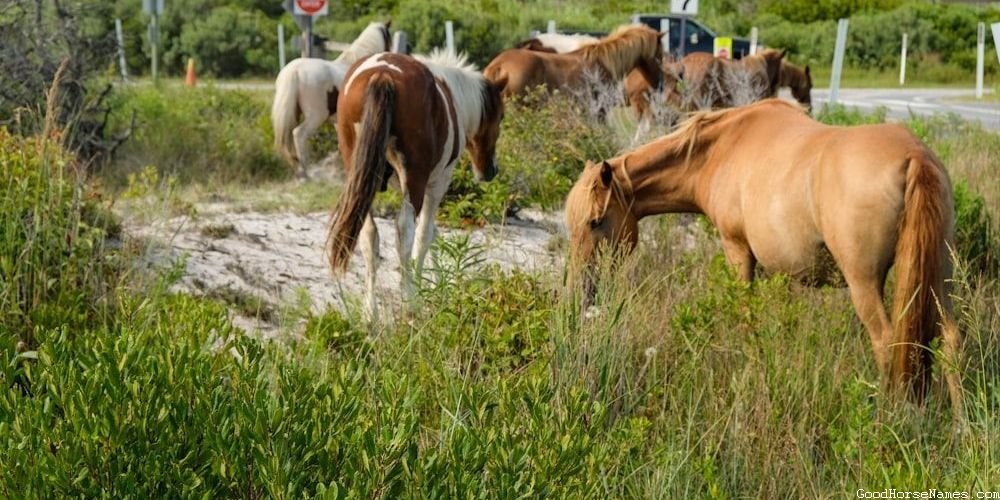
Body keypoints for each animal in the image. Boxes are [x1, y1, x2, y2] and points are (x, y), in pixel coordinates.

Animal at [272, 21, 392, 178]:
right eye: (389, 39)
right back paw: (306, 172)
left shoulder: (339, 122)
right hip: (316, 117)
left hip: (294, 114)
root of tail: (295, 70)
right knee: (299, 134)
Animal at [328, 50, 508, 316]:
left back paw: (370, 311)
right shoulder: (436, 185)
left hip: (360, 176)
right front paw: (423, 288)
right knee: (405, 231)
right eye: (500, 117)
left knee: (368, 234)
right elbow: (424, 235)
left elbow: (430, 233)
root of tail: (382, 75)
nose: (490, 171)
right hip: (416, 180)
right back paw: (410, 301)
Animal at [564, 98, 960, 414]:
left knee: (888, 342)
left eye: (595, 221)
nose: (583, 288)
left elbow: (746, 321)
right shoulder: (780, 269)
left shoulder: (737, 250)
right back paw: (960, 425)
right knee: (951, 340)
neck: (720, 149)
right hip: (940, 277)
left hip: (863, 282)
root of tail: (913, 156)